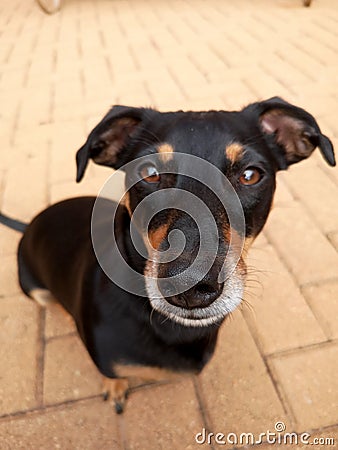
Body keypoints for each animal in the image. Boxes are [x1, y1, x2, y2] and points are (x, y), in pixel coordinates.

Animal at [1, 96, 334, 414]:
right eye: (149, 173)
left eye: (251, 175)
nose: (190, 287)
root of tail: (31, 223)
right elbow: (112, 373)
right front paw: (115, 388)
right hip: (35, 289)